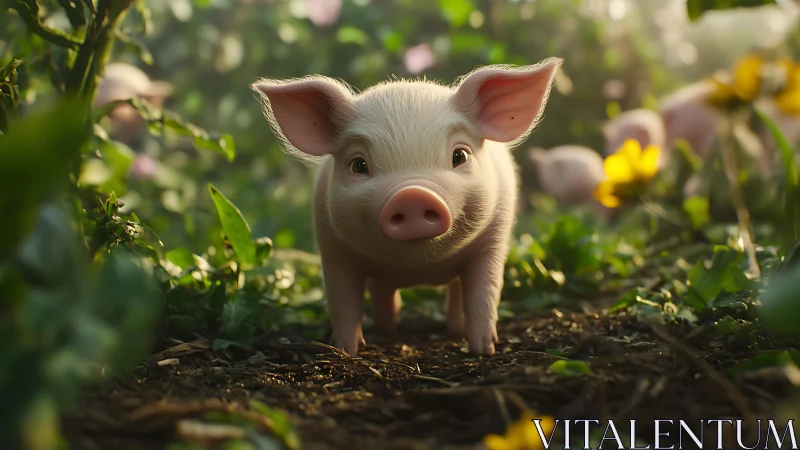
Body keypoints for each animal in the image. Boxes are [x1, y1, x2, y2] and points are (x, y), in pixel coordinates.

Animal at [251, 58, 563, 356]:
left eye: (459, 156)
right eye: (358, 165)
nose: (413, 195)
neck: (418, 266)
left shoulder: (494, 240)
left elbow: (483, 294)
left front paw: (483, 350)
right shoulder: (331, 245)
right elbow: (343, 301)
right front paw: (346, 350)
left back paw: (454, 329)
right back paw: (386, 329)